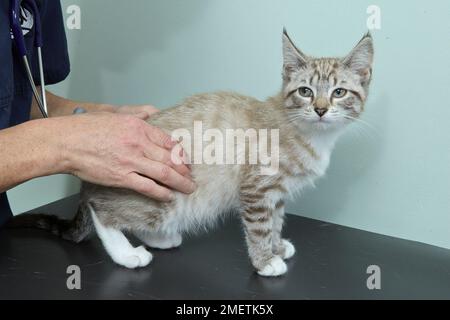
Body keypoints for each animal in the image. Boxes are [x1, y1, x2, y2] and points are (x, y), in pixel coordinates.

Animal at [10, 31, 374, 278]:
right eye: (306, 91)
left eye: (339, 92)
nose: (321, 109)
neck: (312, 134)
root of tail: (90, 180)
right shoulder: (257, 188)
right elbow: (259, 225)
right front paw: (264, 260)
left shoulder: (278, 193)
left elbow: (275, 220)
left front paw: (276, 245)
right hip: (161, 194)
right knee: (103, 211)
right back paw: (127, 254)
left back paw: (160, 239)